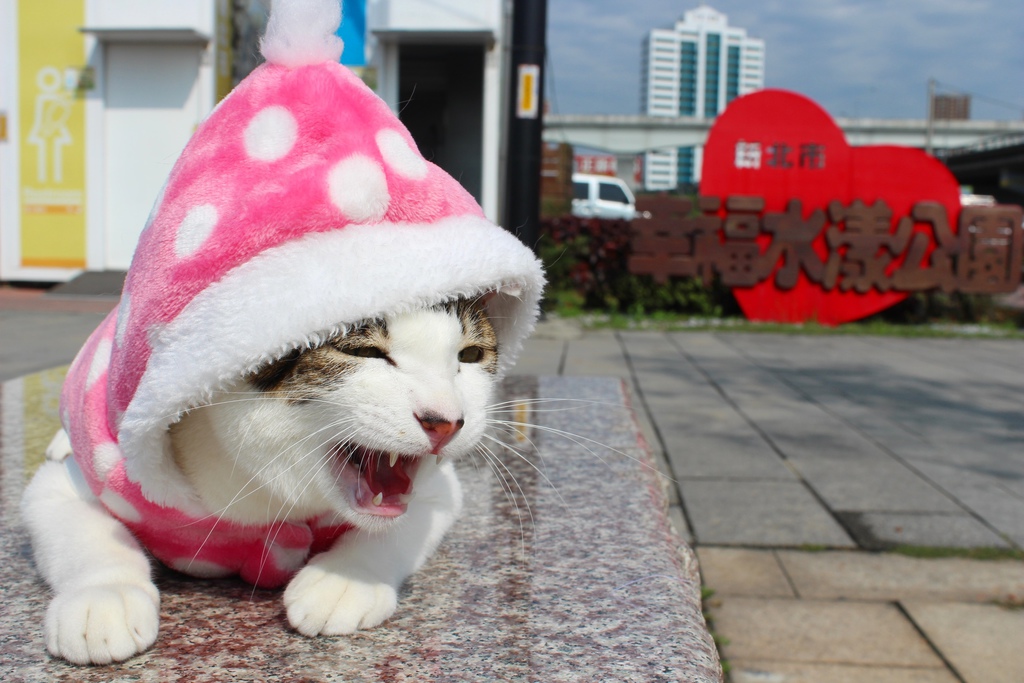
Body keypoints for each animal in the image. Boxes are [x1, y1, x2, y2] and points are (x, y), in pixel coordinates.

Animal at [22, 296, 501, 663]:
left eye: (470, 356)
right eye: (364, 352)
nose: (446, 422)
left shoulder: (439, 492)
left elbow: (402, 528)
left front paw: (347, 578)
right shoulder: (95, 476)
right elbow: (81, 528)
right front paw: (103, 597)